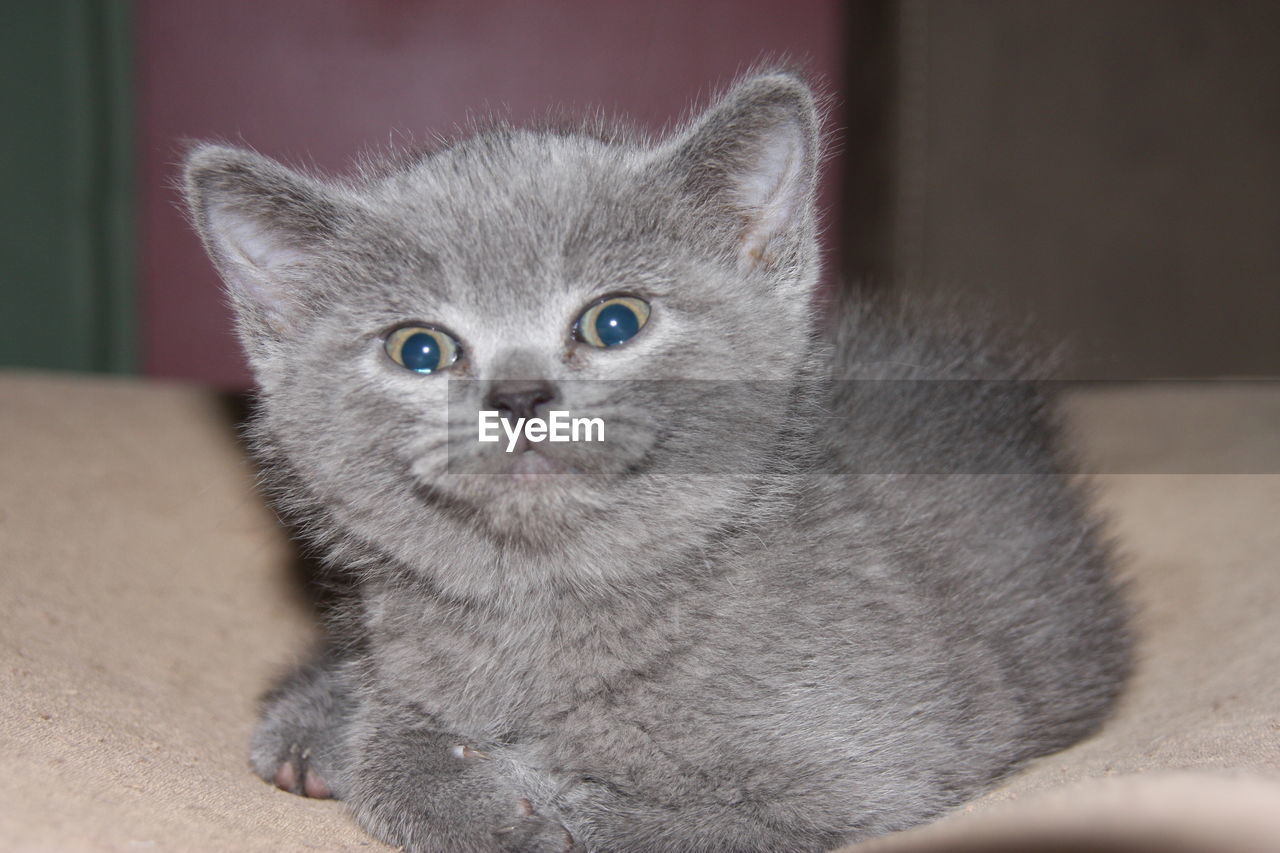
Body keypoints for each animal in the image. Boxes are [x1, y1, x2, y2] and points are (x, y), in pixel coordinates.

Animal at [183, 74, 1131, 850]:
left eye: (615, 322)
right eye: (420, 350)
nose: (519, 396)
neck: (550, 603)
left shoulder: (890, 756)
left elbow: (697, 821)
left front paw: (551, 803)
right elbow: (390, 752)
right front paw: (458, 783)